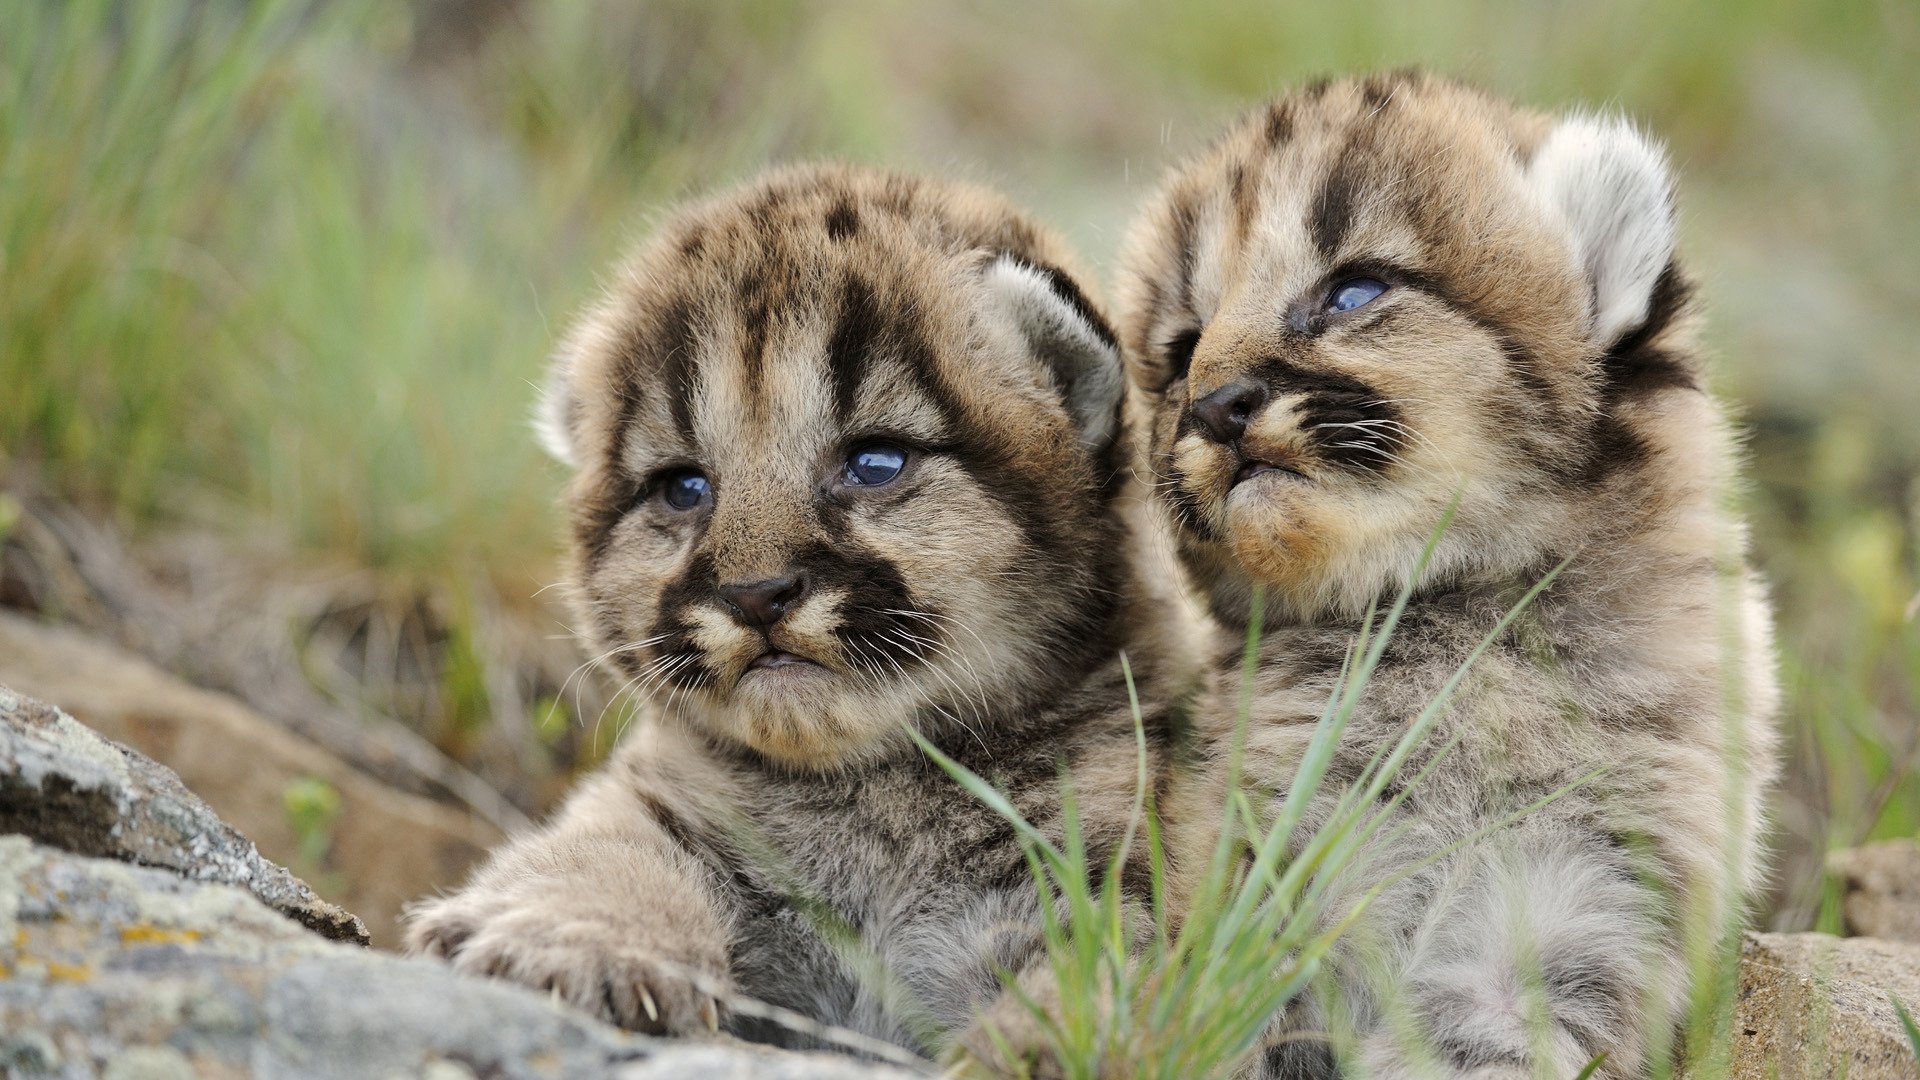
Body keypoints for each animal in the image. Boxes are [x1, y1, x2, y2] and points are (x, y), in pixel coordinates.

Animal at [403, 162, 1196, 1065]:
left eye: (875, 461)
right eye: (683, 486)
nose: (755, 594)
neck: (872, 799)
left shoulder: (1102, 884)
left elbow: (1101, 993)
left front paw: (1027, 1053)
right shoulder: (661, 800)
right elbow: (601, 849)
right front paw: (567, 940)